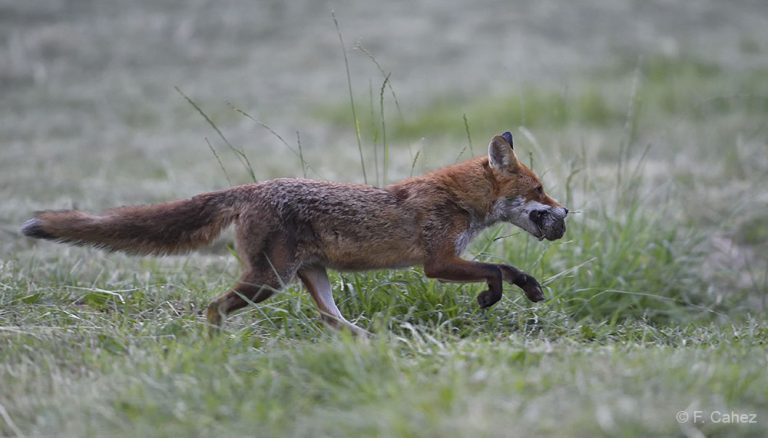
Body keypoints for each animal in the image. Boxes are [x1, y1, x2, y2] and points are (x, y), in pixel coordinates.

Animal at [22, 132, 564, 338]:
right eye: (539, 188)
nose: (564, 212)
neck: (458, 199)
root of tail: (252, 188)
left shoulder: (445, 261)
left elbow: (500, 267)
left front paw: (509, 293)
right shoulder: (437, 262)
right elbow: (499, 268)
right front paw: (502, 293)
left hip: (308, 277)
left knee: (334, 321)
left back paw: (374, 344)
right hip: (270, 280)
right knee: (213, 308)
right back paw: (215, 347)